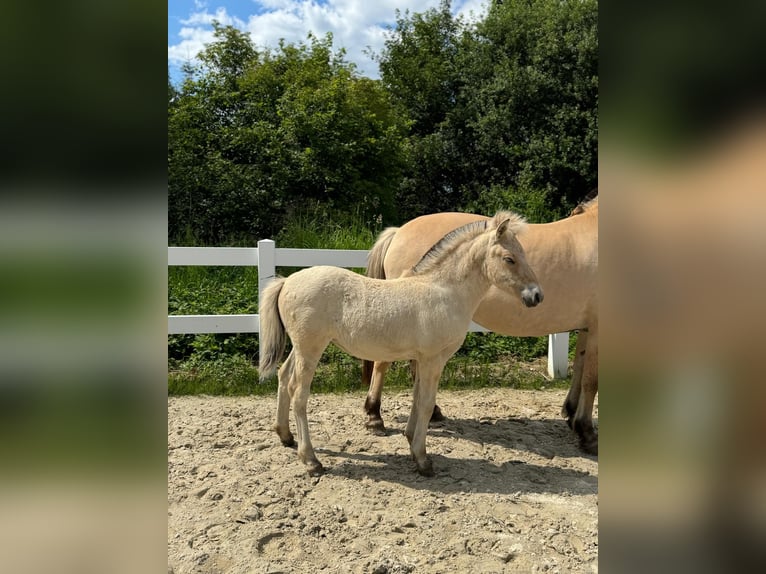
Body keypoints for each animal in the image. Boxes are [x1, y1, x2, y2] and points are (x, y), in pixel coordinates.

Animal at [260, 212, 544, 476]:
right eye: (509, 259)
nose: (536, 295)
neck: (444, 291)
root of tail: (286, 281)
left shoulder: (421, 358)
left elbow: (417, 399)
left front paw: (410, 442)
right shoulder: (433, 359)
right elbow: (427, 404)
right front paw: (423, 460)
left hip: (299, 347)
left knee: (283, 376)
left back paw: (285, 436)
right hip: (311, 348)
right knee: (299, 393)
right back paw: (311, 461)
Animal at [364, 196, 600, 456]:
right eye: (510, 259)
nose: (537, 296)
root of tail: (398, 232)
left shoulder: (587, 328)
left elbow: (579, 370)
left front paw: (572, 415)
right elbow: (591, 381)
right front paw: (587, 434)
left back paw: (432, 412)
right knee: (382, 362)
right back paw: (374, 417)